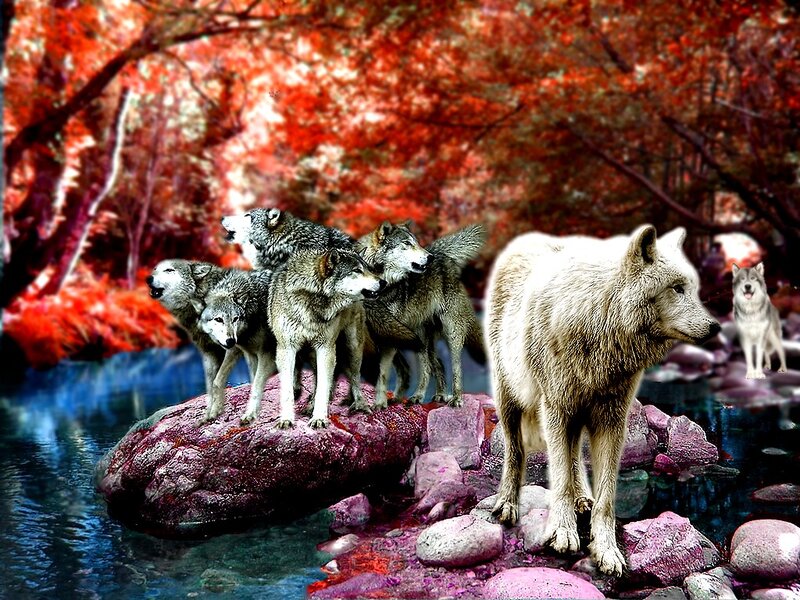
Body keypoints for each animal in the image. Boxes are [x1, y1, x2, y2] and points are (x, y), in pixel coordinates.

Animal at [268, 249, 383, 429]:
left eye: (368, 269)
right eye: (357, 270)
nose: (383, 282)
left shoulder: (326, 348)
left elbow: (323, 386)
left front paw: (319, 419)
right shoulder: (286, 348)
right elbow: (288, 390)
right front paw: (286, 419)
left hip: (352, 348)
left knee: (355, 378)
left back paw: (360, 404)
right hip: (312, 354)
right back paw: (310, 404)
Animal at [356, 221, 486, 408]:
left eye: (416, 242)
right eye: (407, 243)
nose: (429, 257)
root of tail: (442, 255)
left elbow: (384, 372)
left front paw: (380, 404)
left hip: (451, 332)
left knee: (454, 366)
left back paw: (455, 398)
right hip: (421, 337)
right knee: (434, 365)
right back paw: (432, 395)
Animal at [485, 225, 720, 576]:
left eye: (693, 289)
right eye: (677, 288)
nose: (715, 327)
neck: (598, 319)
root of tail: (523, 240)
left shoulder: (612, 419)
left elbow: (606, 496)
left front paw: (607, 550)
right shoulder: (556, 409)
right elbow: (560, 480)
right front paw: (564, 532)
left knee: (573, 456)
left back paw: (583, 497)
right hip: (511, 397)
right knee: (516, 452)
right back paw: (508, 503)